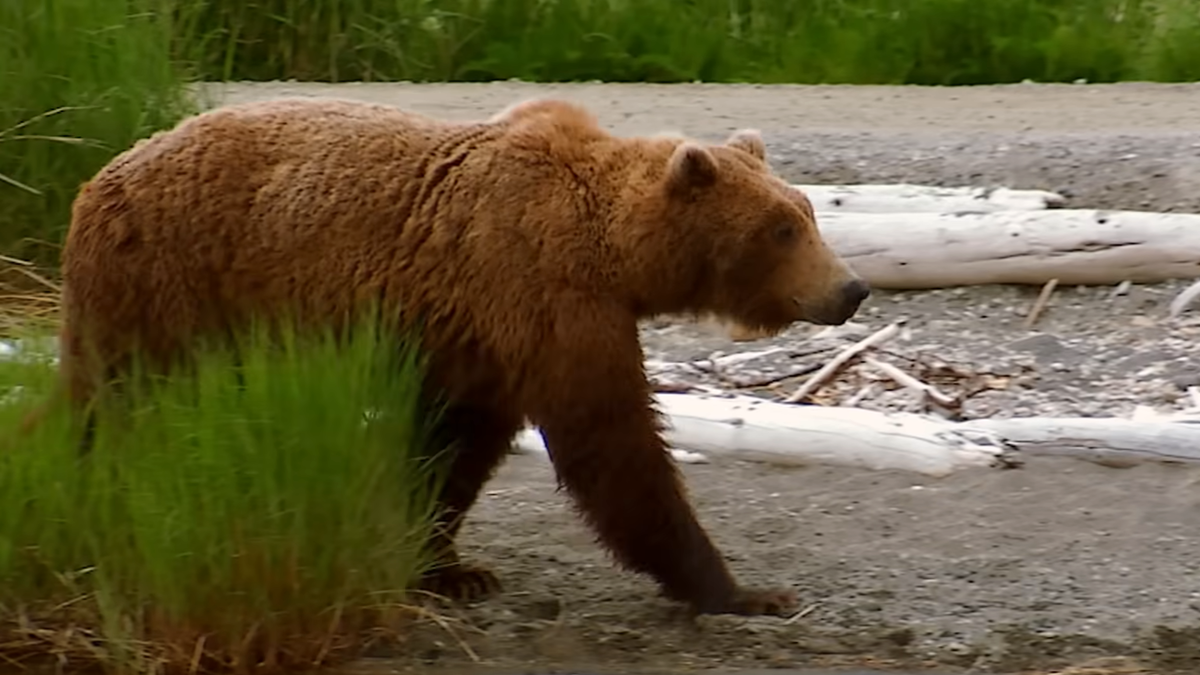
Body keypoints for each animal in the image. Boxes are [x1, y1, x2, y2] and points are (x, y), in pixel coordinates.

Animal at [49, 94, 873, 614]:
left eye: (804, 211)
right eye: (781, 229)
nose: (851, 288)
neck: (616, 252)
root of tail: (92, 182)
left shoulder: (483, 336)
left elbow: (455, 448)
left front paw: (450, 568)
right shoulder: (544, 294)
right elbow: (612, 444)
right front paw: (745, 590)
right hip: (168, 281)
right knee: (122, 405)